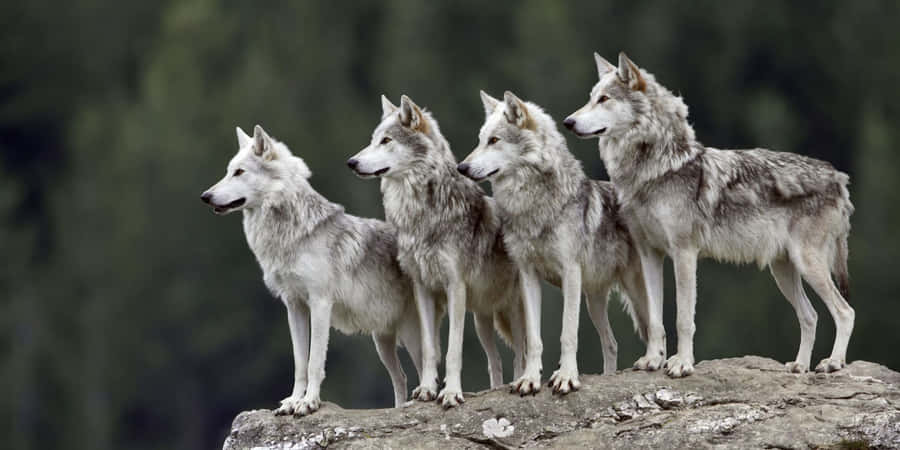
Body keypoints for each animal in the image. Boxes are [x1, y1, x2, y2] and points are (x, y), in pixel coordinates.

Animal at [201, 125, 429, 416]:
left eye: (239, 172)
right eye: (228, 170)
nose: (205, 196)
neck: (290, 235)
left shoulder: (320, 304)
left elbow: (314, 362)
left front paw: (308, 403)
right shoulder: (294, 306)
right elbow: (300, 363)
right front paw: (292, 402)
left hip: (411, 335)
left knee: (426, 369)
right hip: (383, 342)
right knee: (401, 377)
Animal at [348, 95, 526, 408]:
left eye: (386, 140)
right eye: (372, 140)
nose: (352, 162)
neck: (421, 216)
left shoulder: (455, 287)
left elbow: (454, 350)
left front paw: (451, 392)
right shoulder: (423, 288)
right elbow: (430, 349)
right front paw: (427, 389)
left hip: (511, 309)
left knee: (521, 352)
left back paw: (519, 383)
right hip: (482, 319)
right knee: (495, 361)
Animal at [458, 90, 652, 394]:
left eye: (494, 140)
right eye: (480, 139)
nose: (461, 167)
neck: (533, 206)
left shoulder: (570, 273)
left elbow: (568, 333)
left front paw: (566, 377)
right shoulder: (528, 276)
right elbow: (534, 339)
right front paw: (529, 379)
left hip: (633, 290)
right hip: (594, 301)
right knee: (611, 343)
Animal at [565, 52, 854, 377]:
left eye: (604, 99)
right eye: (590, 98)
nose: (568, 122)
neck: (655, 170)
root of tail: (838, 177)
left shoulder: (684, 253)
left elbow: (683, 319)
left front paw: (681, 364)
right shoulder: (649, 254)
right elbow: (655, 319)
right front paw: (653, 360)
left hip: (808, 264)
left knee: (845, 311)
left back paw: (833, 363)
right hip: (783, 270)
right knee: (811, 316)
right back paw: (800, 366)